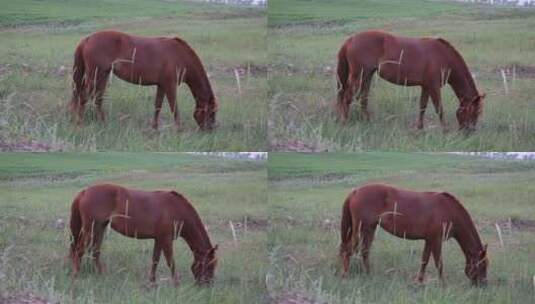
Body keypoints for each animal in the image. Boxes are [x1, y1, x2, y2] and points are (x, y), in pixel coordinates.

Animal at [69, 184, 218, 286]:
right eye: (210, 264)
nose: (207, 285)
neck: (176, 209)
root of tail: (84, 192)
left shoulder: (159, 239)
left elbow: (155, 260)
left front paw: (152, 282)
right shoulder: (166, 239)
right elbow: (171, 262)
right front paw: (176, 284)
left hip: (100, 228)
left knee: (95, 252)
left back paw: (102, 275)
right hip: (89, 229)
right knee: (79, 250)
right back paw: (75, 276)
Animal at [70, 30, 219, 131]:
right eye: (211, 112)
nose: (210, 130)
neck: (180, 55)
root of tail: (87, 39)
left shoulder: (162, 85)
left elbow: (157, 106)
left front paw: (154, 128)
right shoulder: (170, 86)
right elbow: (174, 108)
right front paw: (179, 130)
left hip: (102, 76)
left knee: (97, 99)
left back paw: (103, 123)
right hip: (95, 76)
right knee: (83, 97)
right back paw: (79, 124)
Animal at [340, 30, 486, 132]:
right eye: (474, 112)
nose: (469, 132)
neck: (444, 56)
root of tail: (351, 39)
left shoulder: (426, 86)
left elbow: (422, 107)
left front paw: (420, 129)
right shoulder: (433, 87)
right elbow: (439, 108)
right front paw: (445, 130)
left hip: (367, 76)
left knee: (363, 98)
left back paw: (367, 121)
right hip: (358, 75)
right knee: (347, 97)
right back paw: (344, 122)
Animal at [340, 184, 490, 286]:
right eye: (482, 265)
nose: (483, 284)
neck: (449, 210)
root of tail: (355, 192)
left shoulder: (429, 240)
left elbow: (424, 260)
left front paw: (419, 281)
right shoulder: (436, 240)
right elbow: (439, 262)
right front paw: (443, 284)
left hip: (369, 229)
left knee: (364, 251)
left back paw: (369, 274)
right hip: (360, 230)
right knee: (348, 250)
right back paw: (346, 275)